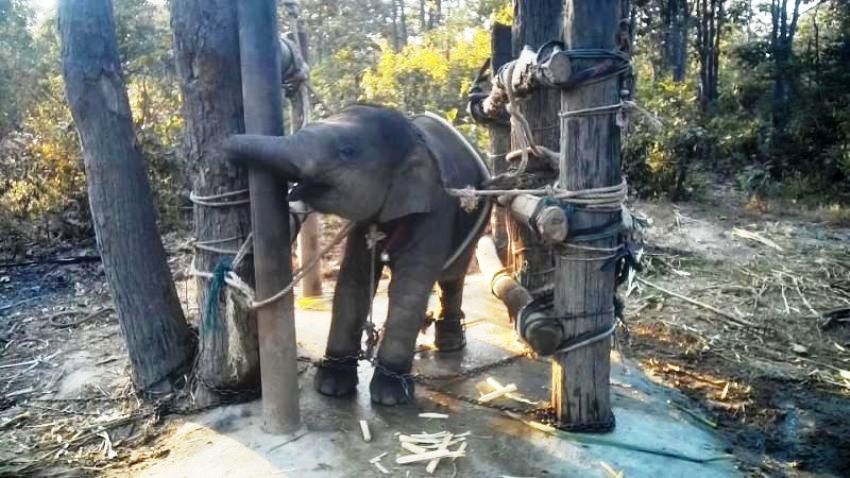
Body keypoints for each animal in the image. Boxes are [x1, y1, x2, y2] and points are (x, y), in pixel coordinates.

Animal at [225, 104, 486, 404]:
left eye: (346, 151)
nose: (223, 150)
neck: (414, 139)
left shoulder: (435, 209)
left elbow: (409, 288)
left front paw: (390, 394)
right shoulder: (364, 222)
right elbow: (354, 282)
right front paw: (331, 384)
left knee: (453, 275)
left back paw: (450, 344)